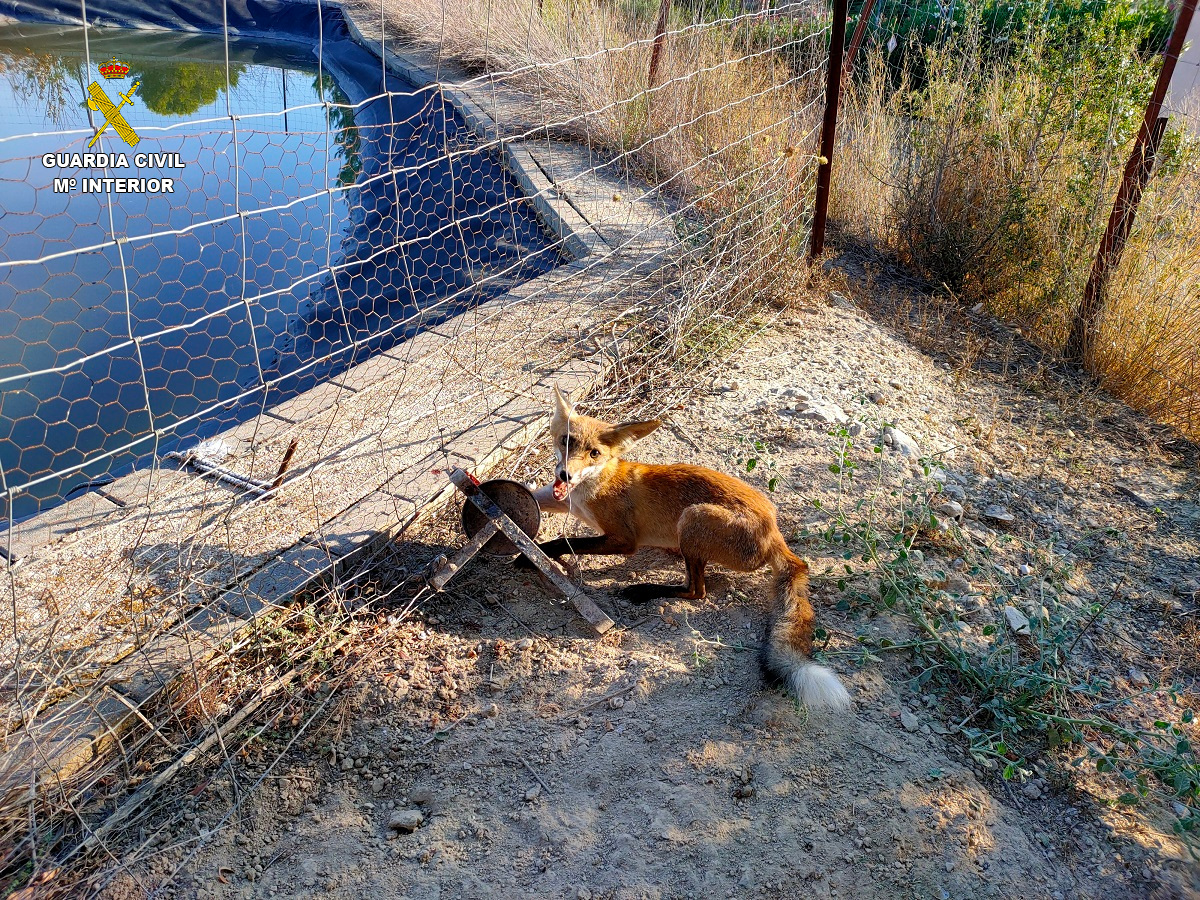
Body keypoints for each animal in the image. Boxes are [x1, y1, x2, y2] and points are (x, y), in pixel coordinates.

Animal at [526, 387, 850, 710]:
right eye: (566, 441)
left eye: (594, 453)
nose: (565, 475)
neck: (592, 488)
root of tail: (774, 533)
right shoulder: (557, 498)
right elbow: (531, 498)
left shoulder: (624, 539)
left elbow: (565, 542)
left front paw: (530, 557)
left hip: (691, 520)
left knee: (697, 591)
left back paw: (643, 590)